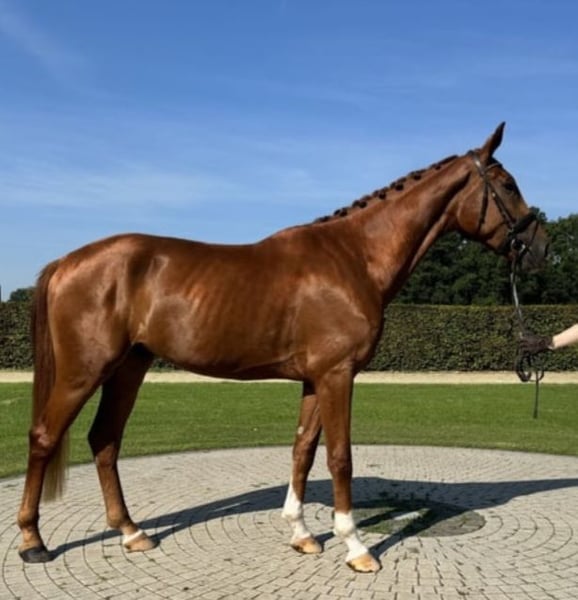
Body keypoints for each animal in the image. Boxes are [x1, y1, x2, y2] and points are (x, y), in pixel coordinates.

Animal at [17, 123, 548, 572]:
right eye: (508, 185)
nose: (540, 248)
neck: (354, 256)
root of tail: (67, 262)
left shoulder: (315, 379)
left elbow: (303, 449)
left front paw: (301, 533)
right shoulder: (337, 375)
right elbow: (339, 456)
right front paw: (355, 547)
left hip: (130, 366)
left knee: (105, 440)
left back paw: (131, 533)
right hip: (85, 369)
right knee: (45, 436)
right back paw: (33, 541)